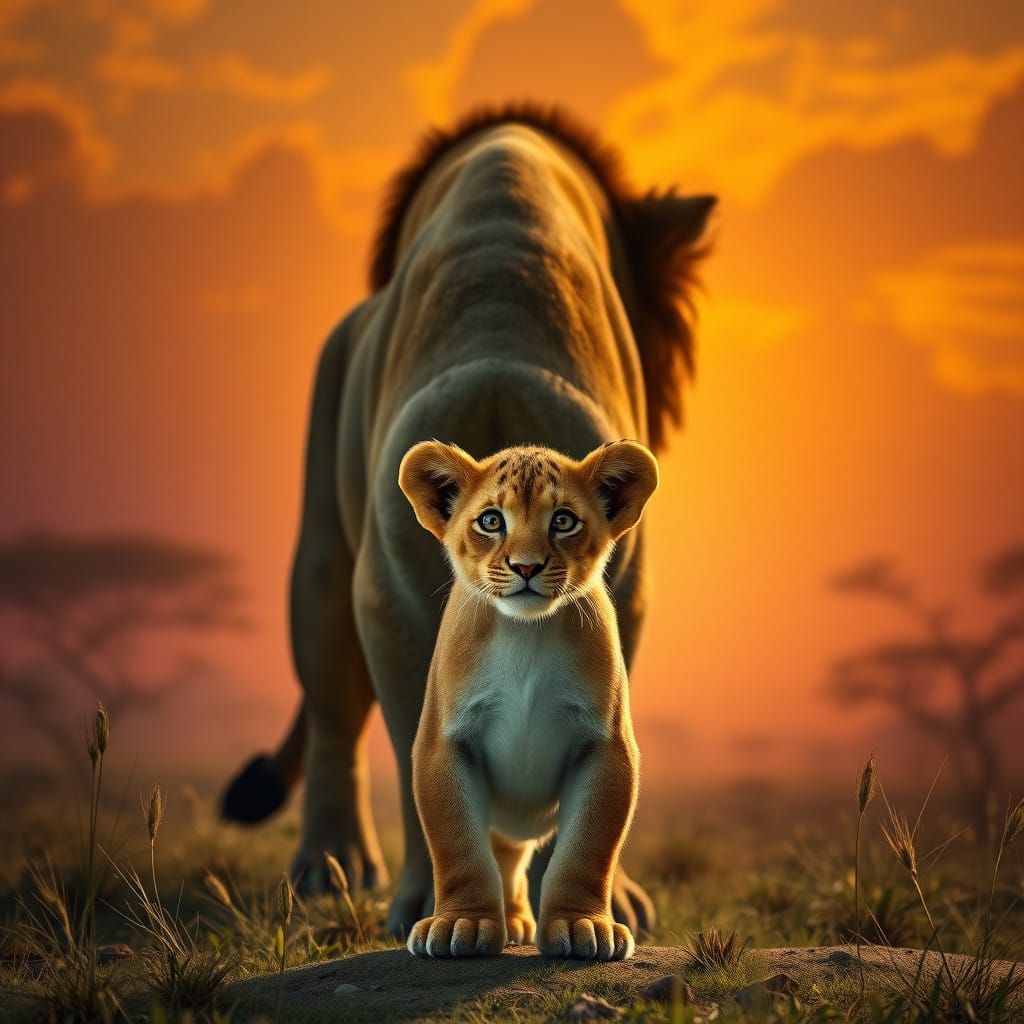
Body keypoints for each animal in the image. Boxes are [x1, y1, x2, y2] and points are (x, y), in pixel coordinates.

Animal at [399, 439, 658, 960]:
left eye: (563, 520)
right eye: (490, 520)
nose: (526, 567)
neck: (525, 632)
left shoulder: (606, 747)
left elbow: (587, 848)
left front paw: (583, 926)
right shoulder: (444, 743)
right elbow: (458, 845)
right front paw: (461, 924)